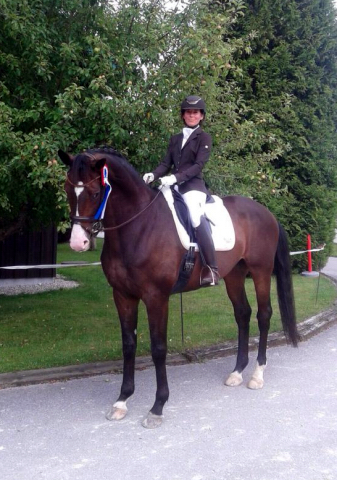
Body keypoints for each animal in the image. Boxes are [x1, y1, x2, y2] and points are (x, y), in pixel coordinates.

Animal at [58, 148, 300, 430]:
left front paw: (157, 407)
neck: (139, 226)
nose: (78, 243)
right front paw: (122, 401)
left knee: (263, 315)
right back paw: (237, 372)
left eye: (96, 192)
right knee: (243, 314)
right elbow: (128, 344)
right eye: (67, 188)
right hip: (235, 275)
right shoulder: (123, 295)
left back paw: (257, 375)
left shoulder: (156, 297)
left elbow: (158, 348)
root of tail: (266, 212)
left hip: (260, 271)